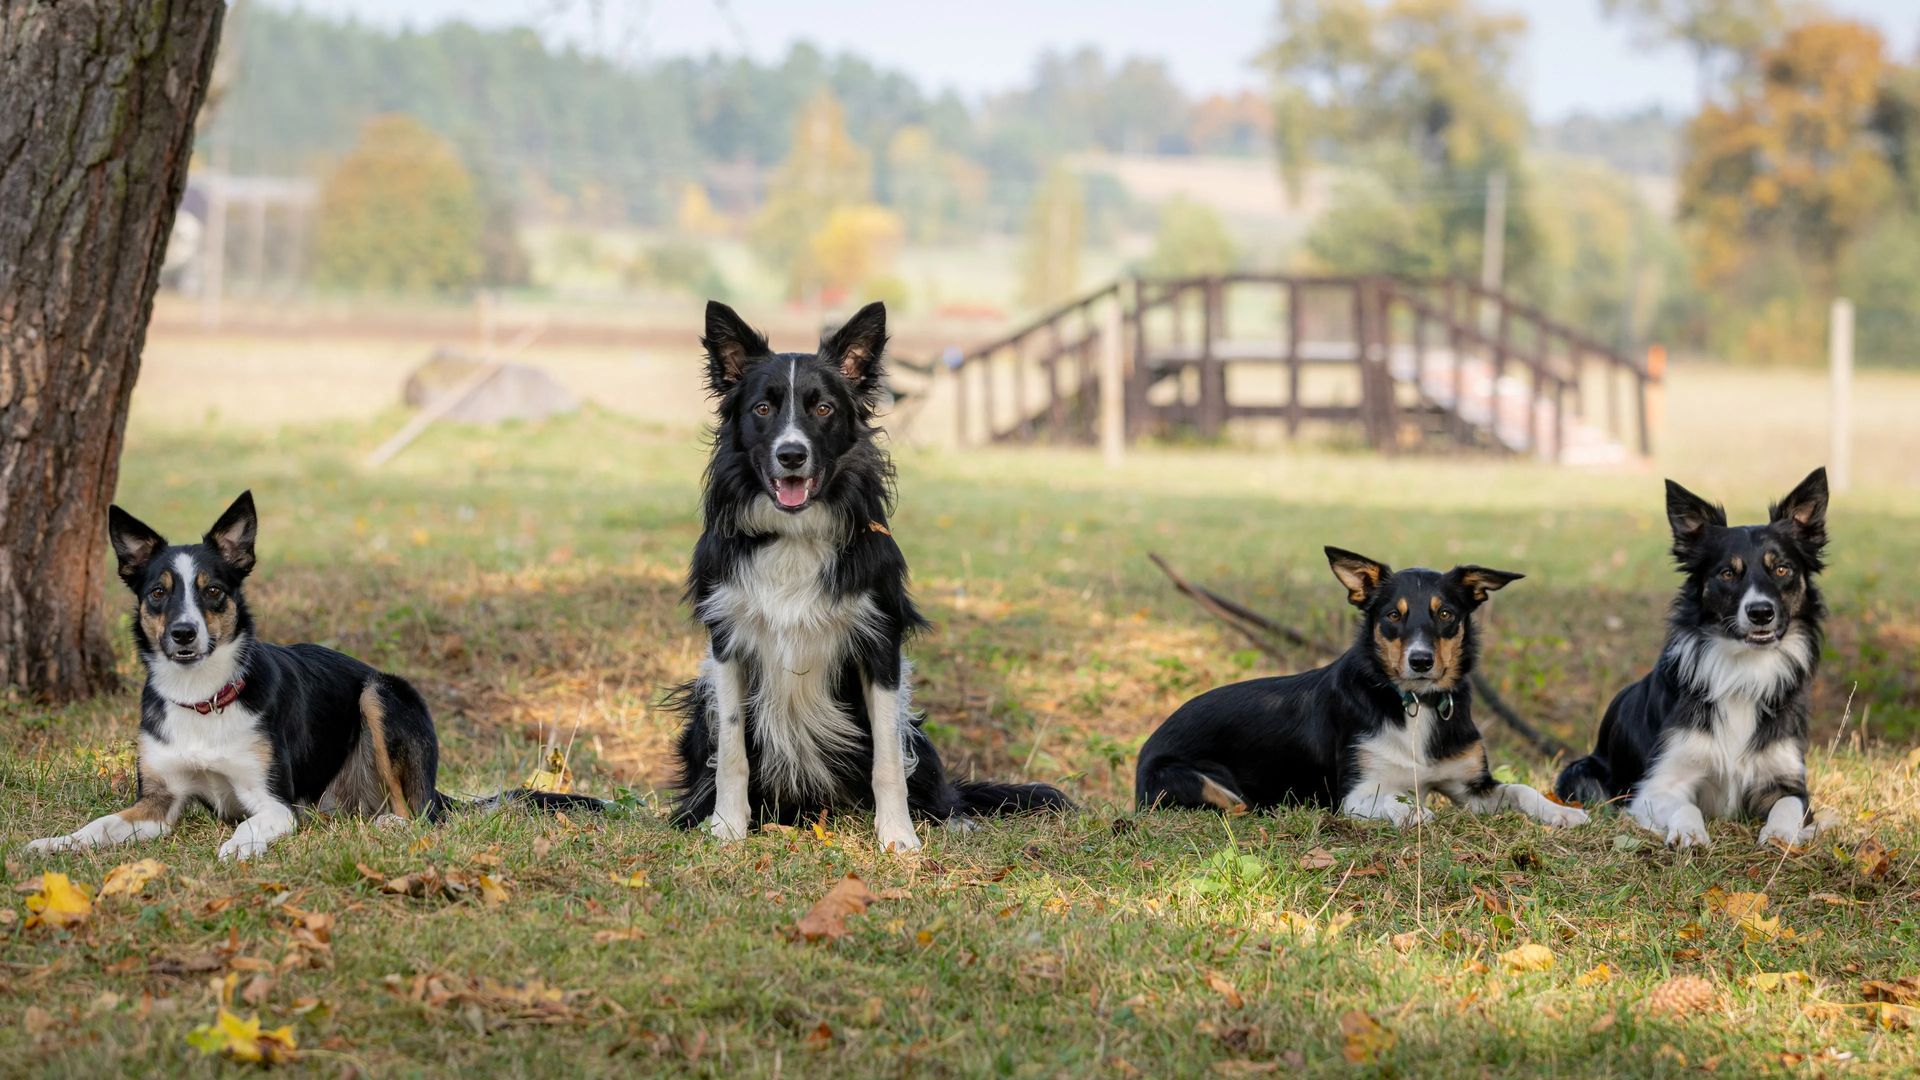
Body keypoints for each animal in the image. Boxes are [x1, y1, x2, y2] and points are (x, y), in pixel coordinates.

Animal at [28, 495, 599, 857]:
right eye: (157, 593)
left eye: (213, 591)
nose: (184, 635)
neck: (205, 699)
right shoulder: (157, 802)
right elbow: (100, 825)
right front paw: (56, 843)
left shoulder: (274, 803)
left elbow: (256, 823)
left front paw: (238, 847)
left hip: (382, 693)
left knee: (419, 814)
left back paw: (392, 822)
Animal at [672, 297, 1067, 845]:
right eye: (762, 409)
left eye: (824, 409)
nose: (791, 455)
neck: (794, 534)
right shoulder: (726, 643)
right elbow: (732, 750)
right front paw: (727, 827)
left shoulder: (880, 644)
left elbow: (887, 760)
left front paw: (898, 838)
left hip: (915, 732)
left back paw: (950, 816)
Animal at [1136, 541, 1589, 826]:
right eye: (1392, 615)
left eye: (1445, 614)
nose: (1421, 661)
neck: (1414, 704)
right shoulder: (1353, 795)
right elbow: (1392, 799)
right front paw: (1410, 813)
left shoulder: (1471, 789)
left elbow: (1522, 789)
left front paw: (1563, 812)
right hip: (1194, 781)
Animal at [1559, 466, 1827, 845]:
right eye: (1727, 573)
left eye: (1782, 569)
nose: (1761, 612)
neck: (1742, 670)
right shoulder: (1657, 785)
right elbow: (1686, 806)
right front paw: (1689, 833)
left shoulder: (1786, 780)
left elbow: (1786, 806)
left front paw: (1779, 836)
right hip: (1580, 770)